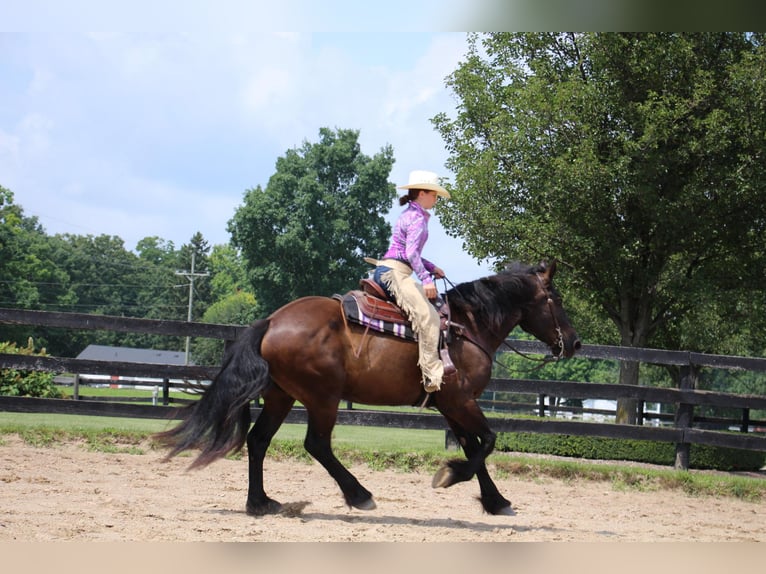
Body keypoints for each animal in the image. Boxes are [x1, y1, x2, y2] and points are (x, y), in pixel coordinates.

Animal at [156, 260, 584, 516]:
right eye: (556, 298)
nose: (576, 342)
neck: (467, 328)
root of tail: (273, 320)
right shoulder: (461, 400)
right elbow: (488, 442)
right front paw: (450, 476)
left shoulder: (451, 405)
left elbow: (473, 446)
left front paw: (495, 500)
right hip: (322, 397)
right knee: (316, 444)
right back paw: (359, 494)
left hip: (281, 395)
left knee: (259, 440)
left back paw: (260, 503)